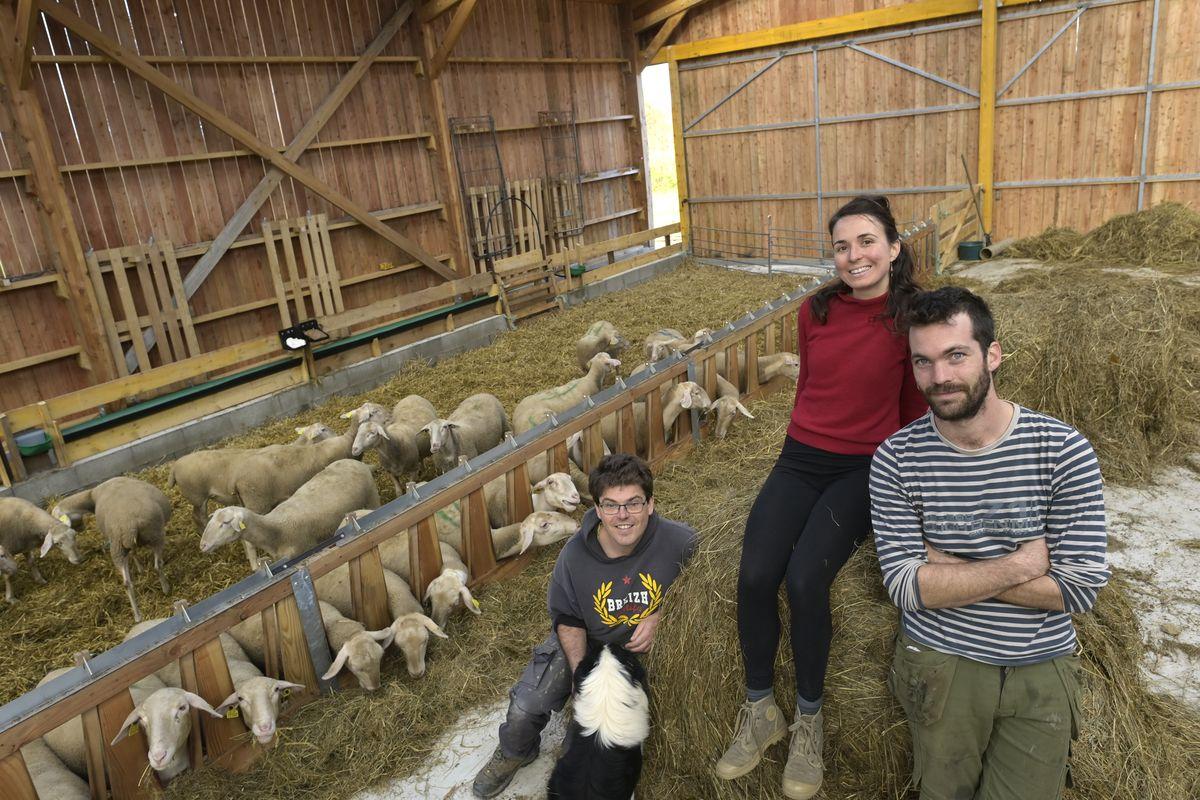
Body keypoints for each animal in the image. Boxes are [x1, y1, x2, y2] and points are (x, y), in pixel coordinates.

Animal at [50, 479, 172, 623]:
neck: (90, 496)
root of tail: (131, 524)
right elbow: (138, 555)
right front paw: (142, 569)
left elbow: (133, 553)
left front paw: (140, 568)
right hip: (154, 535)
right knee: (154, 568)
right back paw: (161, 594)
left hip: (119, 544)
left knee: (131, 580)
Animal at [199, 460, 379, 566]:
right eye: (210, 522)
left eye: (225, 523)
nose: (203, 545)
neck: (275, 530)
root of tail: (354, 461)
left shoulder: (307, 549)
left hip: (372, 496)